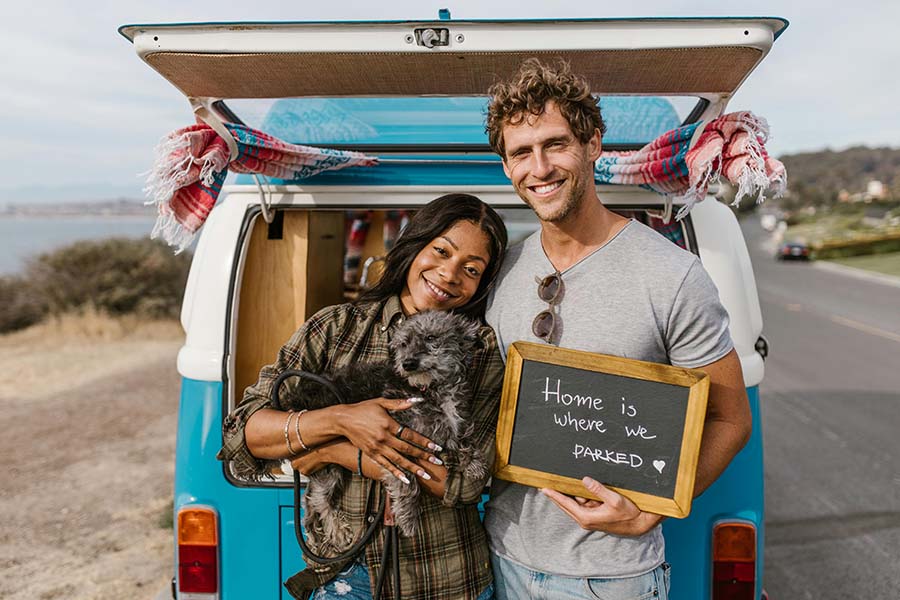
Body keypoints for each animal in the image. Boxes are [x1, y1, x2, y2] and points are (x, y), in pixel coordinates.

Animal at [284, 312, 488, 556]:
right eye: (403, 344)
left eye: (431, 337)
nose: (407, 363)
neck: (431, 390)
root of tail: (296, 398)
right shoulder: (394, 446)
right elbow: (408, 481)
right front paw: (408, 518)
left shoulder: (452, 420)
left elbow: (463, 435)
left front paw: (474, 462)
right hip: (330, 465)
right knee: (319, 499)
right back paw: (337, 532)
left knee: (309, 499)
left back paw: (315, 536)